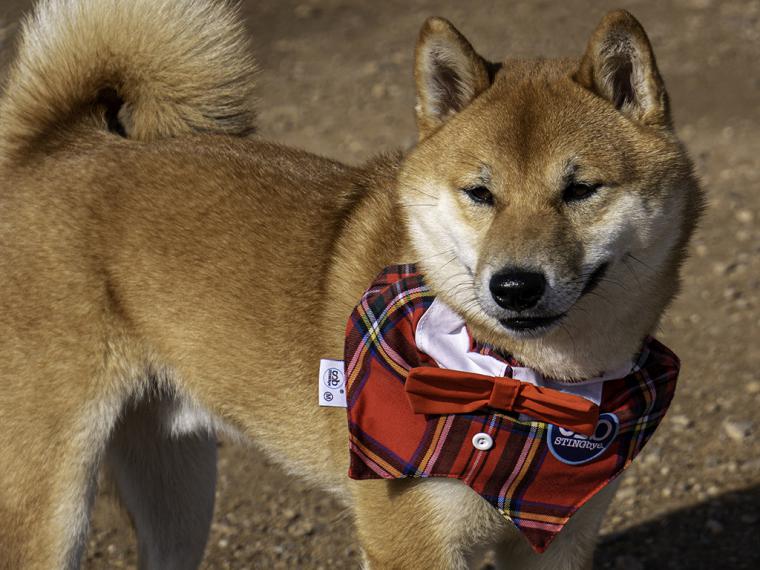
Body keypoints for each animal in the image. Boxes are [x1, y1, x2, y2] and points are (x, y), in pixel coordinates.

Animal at [0, 0, 700, 564]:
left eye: (580, 190)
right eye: (480, 193)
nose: (515, 286)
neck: (521, 388)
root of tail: (58, 149)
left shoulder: (558, 543)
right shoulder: (408, 542)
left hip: (181, 488)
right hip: (53, 508)